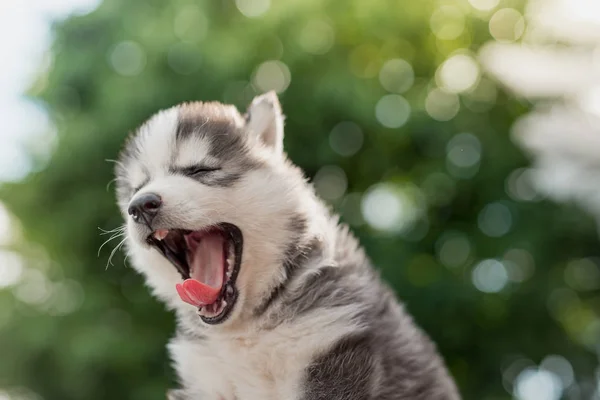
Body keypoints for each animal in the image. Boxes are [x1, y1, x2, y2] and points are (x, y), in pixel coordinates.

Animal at [115, 91, 462, 400]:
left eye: (199, 170)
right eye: (138, 187)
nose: (141, 205)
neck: (246, 328)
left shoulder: (332, 345)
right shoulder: (204, 376)